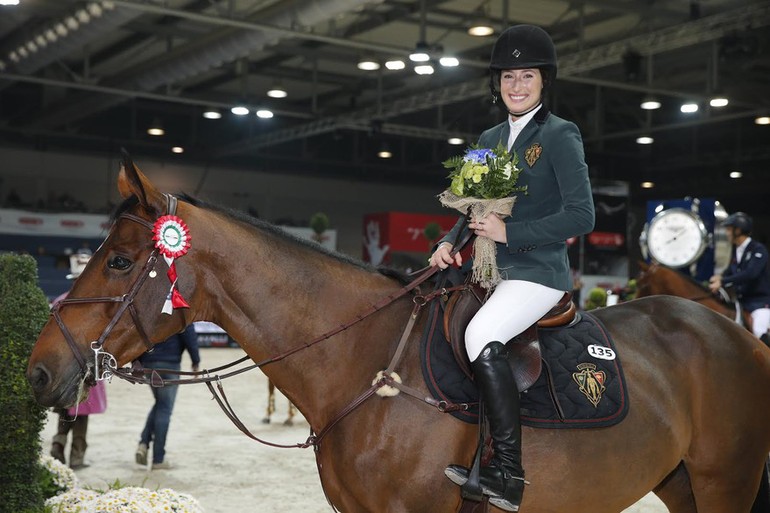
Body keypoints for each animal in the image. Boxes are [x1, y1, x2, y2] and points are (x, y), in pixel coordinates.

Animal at [25, 157, 770, 512]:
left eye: (121, 262)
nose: (38, 369)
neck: (366, 367)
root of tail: (737, 338)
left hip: (725, 480)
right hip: (679, 481)